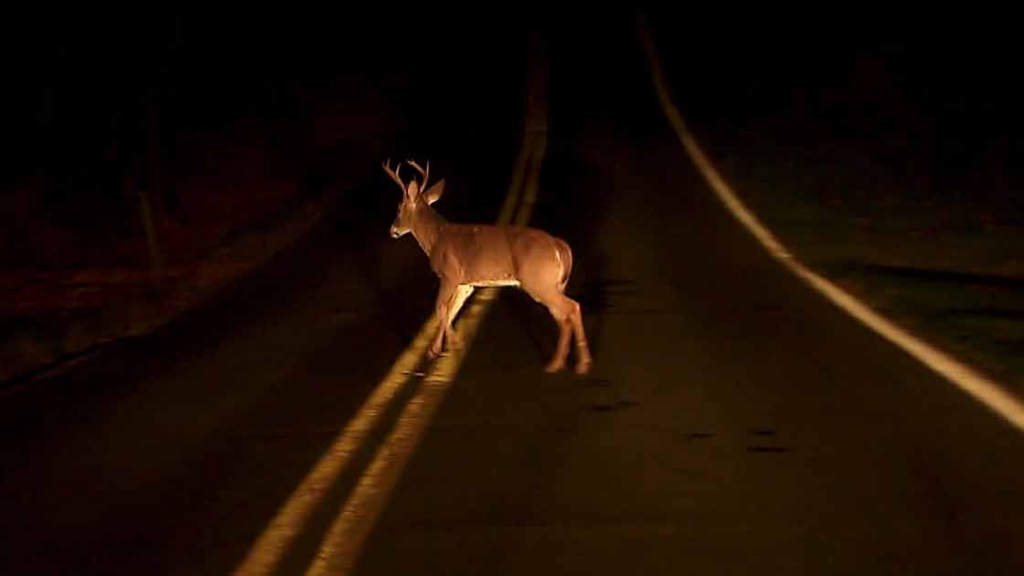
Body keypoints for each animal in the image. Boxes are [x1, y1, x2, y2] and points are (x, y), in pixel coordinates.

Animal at [382, 156, 593, 373]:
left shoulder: (450, 275)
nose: (392, 230)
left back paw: (576, 364)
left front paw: (451, 345)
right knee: (563, 316)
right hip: (553, 284)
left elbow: (440, 308)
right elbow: (451, 310)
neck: (436, 237)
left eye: (399, 207)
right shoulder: (466, 284)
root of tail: (559, 245)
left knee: (573, 307)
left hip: (538, 282)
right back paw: (561, 361)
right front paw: (435, 350)